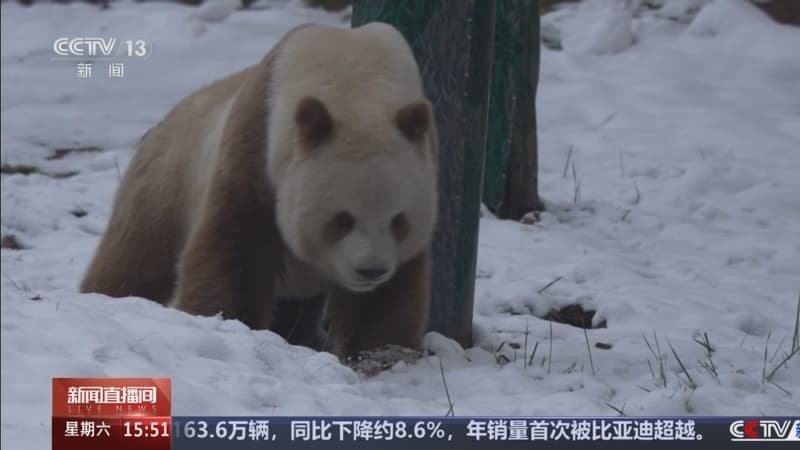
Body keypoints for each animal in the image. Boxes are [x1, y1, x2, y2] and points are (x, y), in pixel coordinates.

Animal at [79, 22, 439, 359]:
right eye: (341, 219)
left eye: (399, 221)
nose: (370, 270)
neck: (355, 81)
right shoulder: (256, 148)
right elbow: (235, 252)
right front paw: (224, 322)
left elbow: (389, 295)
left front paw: (383, 353)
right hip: (165, 188)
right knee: (134, 262)